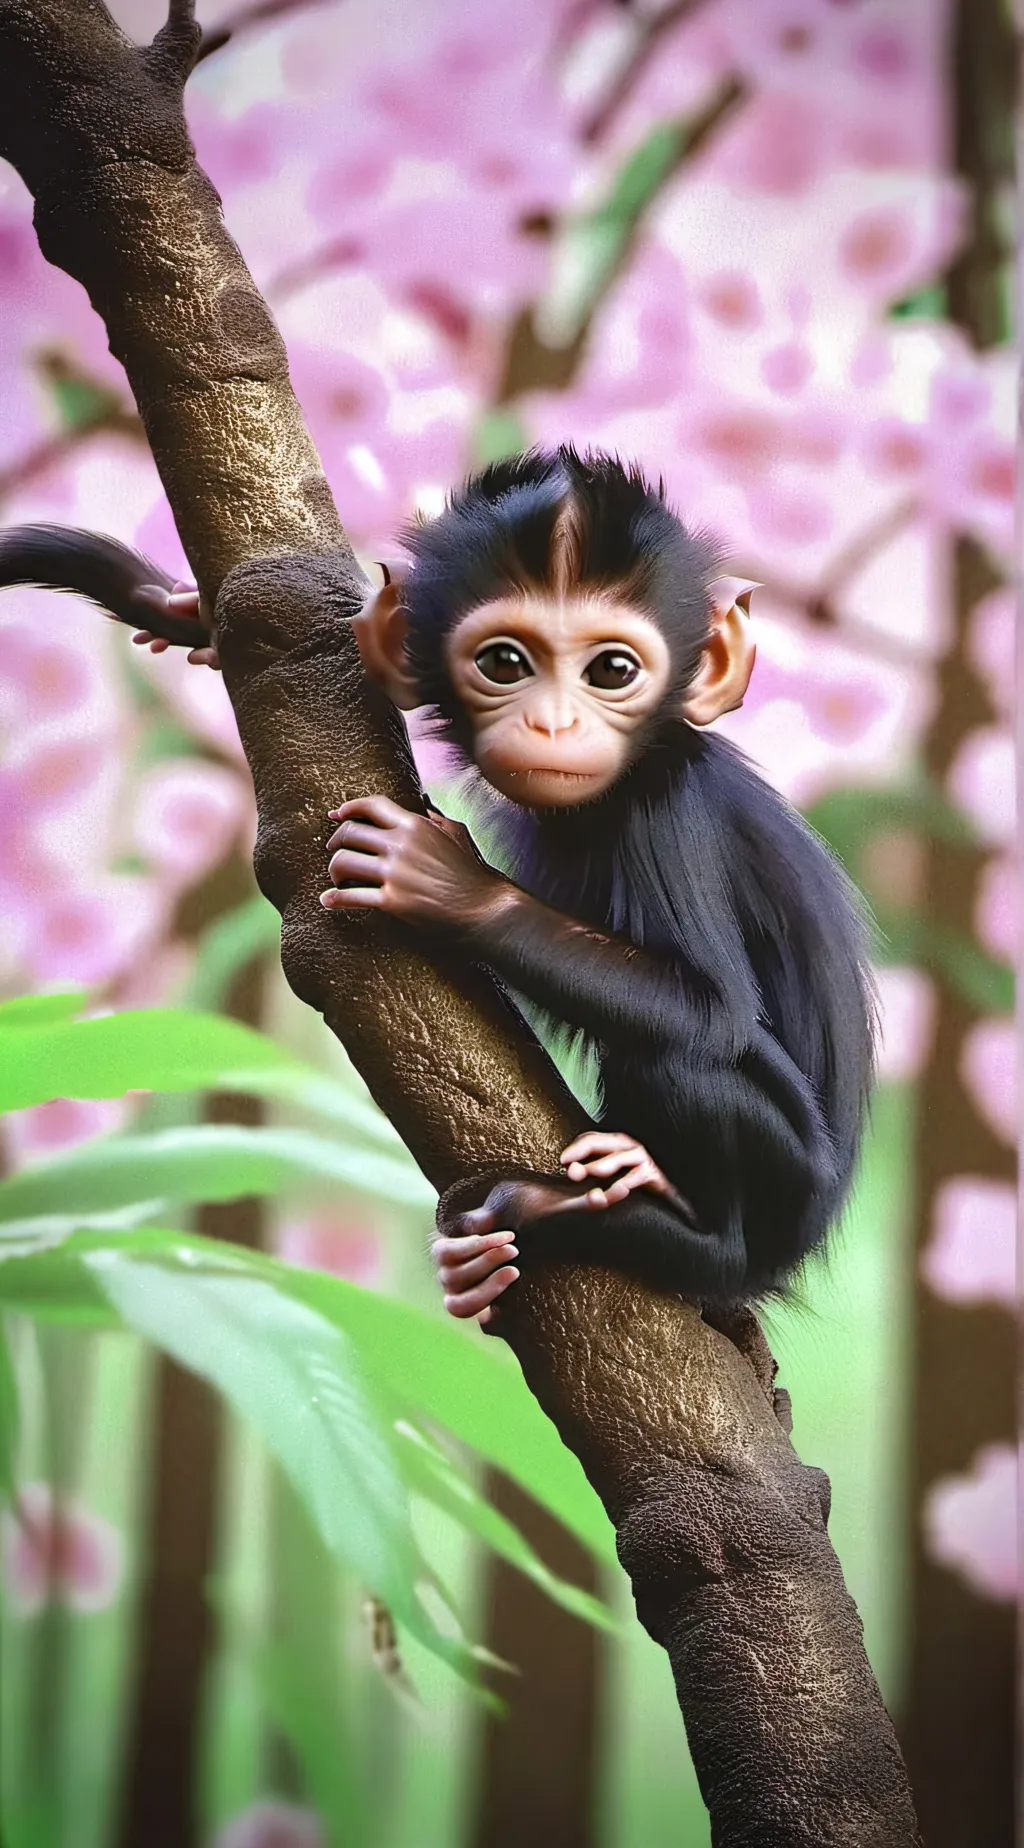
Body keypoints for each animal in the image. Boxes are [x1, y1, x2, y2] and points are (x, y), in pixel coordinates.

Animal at [0, 448, 875, 1328]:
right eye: (504, 663)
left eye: (613, 670)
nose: (554, 723)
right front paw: (185, 611)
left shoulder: (668, 807)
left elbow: (709, 1007)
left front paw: (448, 885)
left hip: (783, 1188)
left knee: (684, 1066)